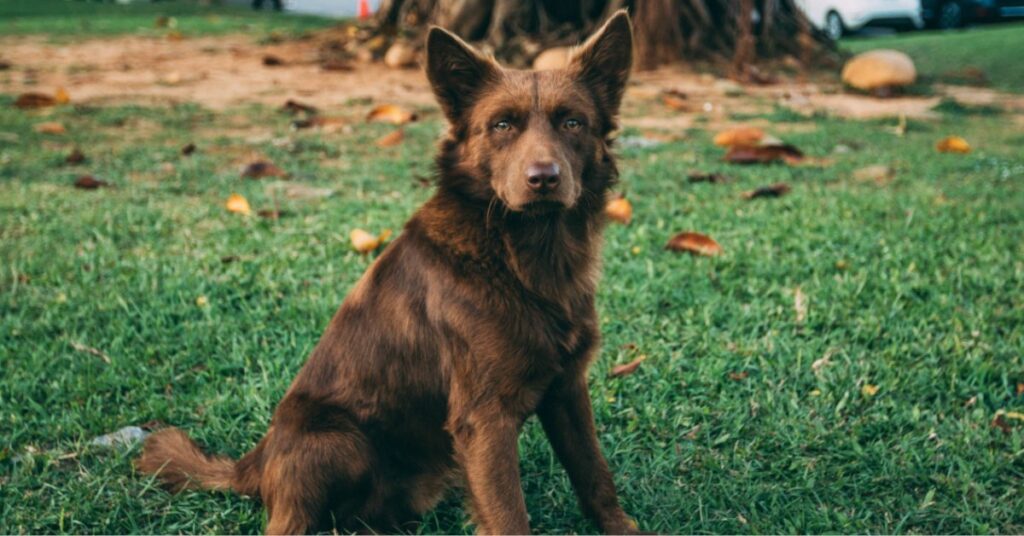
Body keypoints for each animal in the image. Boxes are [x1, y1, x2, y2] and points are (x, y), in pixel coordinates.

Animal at [136, 10, 630, 532]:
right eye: (501, 125)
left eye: (573, 122)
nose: (543, 179)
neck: (524, 254)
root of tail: (257, 461)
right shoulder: (484, 417)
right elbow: (508, 514)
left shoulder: (567, 390)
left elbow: (595, 475)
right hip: (335, 440)